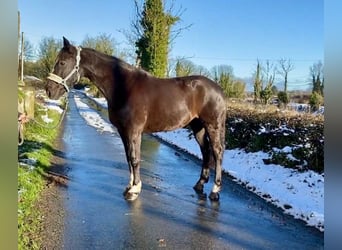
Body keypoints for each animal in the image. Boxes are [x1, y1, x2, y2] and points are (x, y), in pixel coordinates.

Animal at [45, 37, 227, 201]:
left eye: (62, 62)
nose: (49, 90)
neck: (123, 86)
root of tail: (218, 89)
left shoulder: (134, 131)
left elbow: (134, 158)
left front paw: (135, 190)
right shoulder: (123, 131)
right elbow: (128, 157)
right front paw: (130, 186)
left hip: (212, 126)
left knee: (217, 152)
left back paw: (215, 191)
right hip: (197, 127)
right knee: (206, 151)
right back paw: (199, 185)